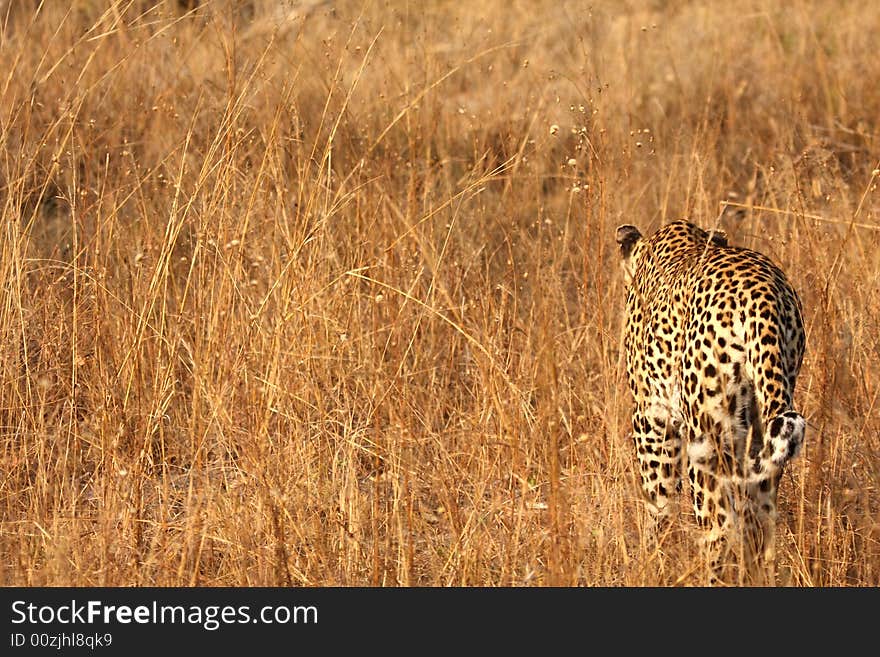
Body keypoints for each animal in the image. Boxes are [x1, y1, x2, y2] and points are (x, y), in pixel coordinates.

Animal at [616, 220, 808, 584]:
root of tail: (763, 294)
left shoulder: (651, 420)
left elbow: (658, 502)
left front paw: (649, 561)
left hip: (706, 439)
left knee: (720, 529)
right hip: (764, 418)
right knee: (760, 528)